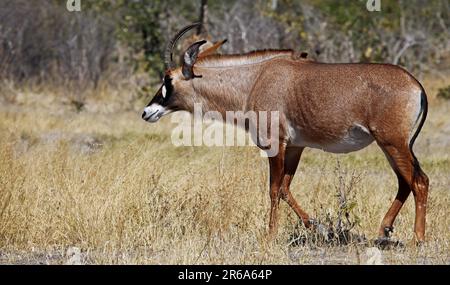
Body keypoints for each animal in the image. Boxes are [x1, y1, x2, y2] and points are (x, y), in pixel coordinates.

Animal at [143, 23, 428, 243]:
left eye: (168, 79)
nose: (147, 112)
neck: (254, 80)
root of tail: (416, 85)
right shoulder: (294, 147)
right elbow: (284, 189)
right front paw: (320, 229)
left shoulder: (274, 144)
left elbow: (274, 189)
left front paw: (270, 235)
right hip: (391, 146)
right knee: (406, 182)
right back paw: (384, 230)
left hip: (393, 143)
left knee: (419, 181)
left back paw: (417, 238)